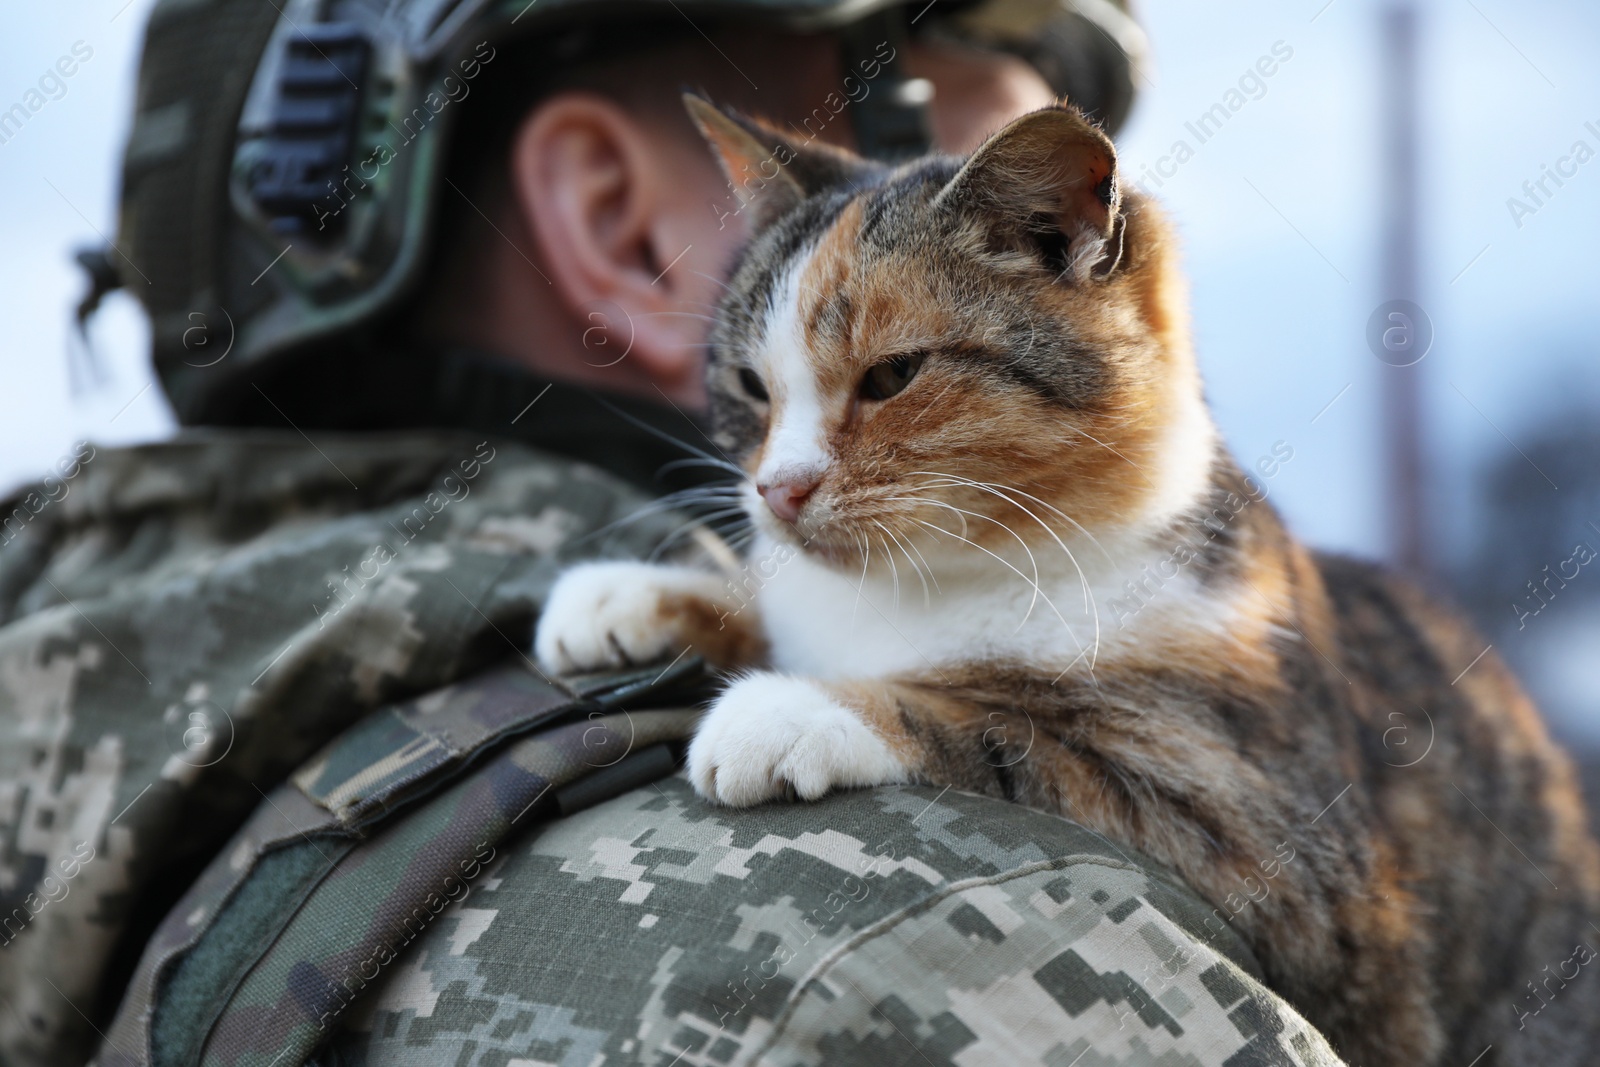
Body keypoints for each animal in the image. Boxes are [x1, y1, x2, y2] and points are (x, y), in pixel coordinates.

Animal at [534, 95, 1600, 1062]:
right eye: (752, 387)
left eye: (893, 376)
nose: (777, 490)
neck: (942, 579)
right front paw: (633, 595)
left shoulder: (1281, 853)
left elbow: (1007, 726)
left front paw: (796, 708)